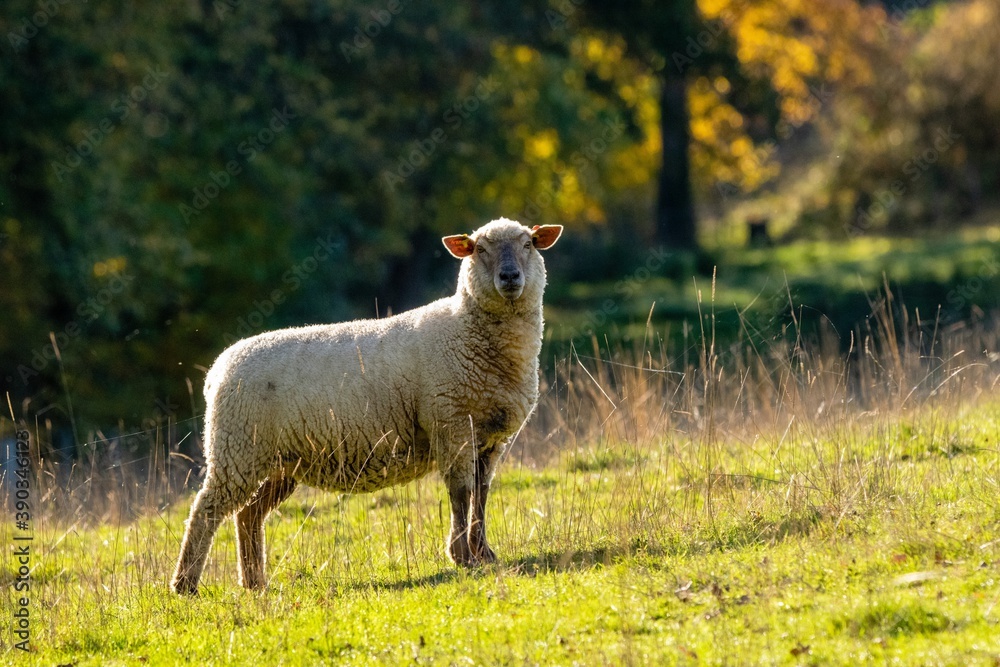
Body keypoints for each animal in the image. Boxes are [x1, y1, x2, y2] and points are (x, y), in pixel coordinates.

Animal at [171, 218, 563, 593]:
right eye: (480, 249)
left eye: (528, 244)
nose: (509, 277)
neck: (469, 330)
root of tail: (217, 369)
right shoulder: (451, 426)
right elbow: (461, 494)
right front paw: (462, 556)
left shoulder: (490, 439)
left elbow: (481, 495)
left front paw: (484, 554)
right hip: (237, 450)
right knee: (205, 510)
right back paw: (185, 585)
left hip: (278, 461)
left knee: (248, 514)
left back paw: (254, 583)